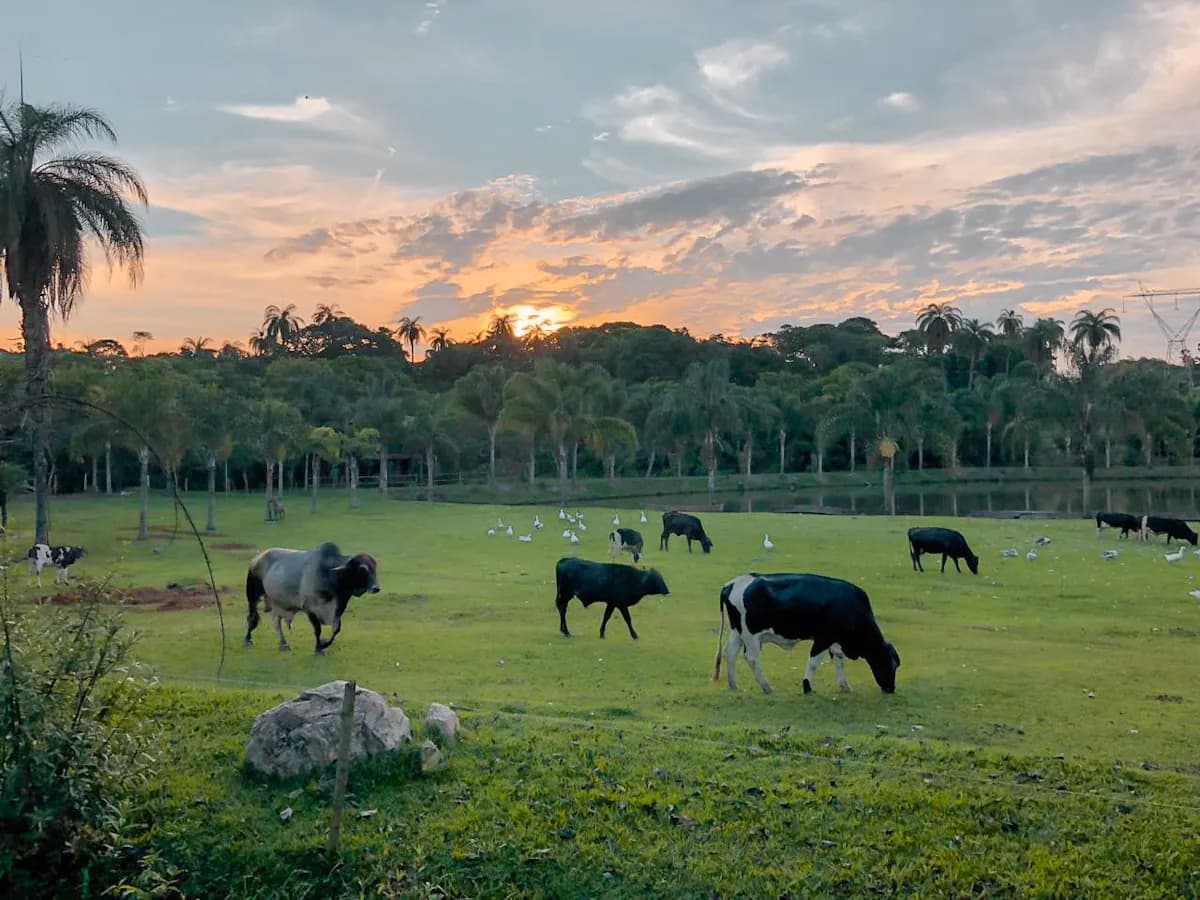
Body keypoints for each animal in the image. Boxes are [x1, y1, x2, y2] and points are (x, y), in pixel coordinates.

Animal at [249, 542, 384, 657]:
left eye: (374, 567)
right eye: (363, 569)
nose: (376, 588)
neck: (329, 575)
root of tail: (258, 557)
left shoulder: (338, 609)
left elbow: (336, 629)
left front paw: (324, 644)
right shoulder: (310, 609)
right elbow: (318, 630)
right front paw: (318, 649)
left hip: (278, 603)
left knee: (276, 622)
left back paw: (283, 644)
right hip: (253, 595)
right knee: (252, 617)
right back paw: (248, 640)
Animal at [710, 573, 902, 696]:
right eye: (891, 665)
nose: (891, 689)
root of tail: (733, 583)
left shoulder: (835, 641)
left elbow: (839, 662)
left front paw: (845, 686)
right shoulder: (823, 638)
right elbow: (814, 663)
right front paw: (807, 687)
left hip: (737, 632)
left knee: (731, 653)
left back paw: (733, 685)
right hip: (751, 635)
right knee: (751, 658)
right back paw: (766, 687)